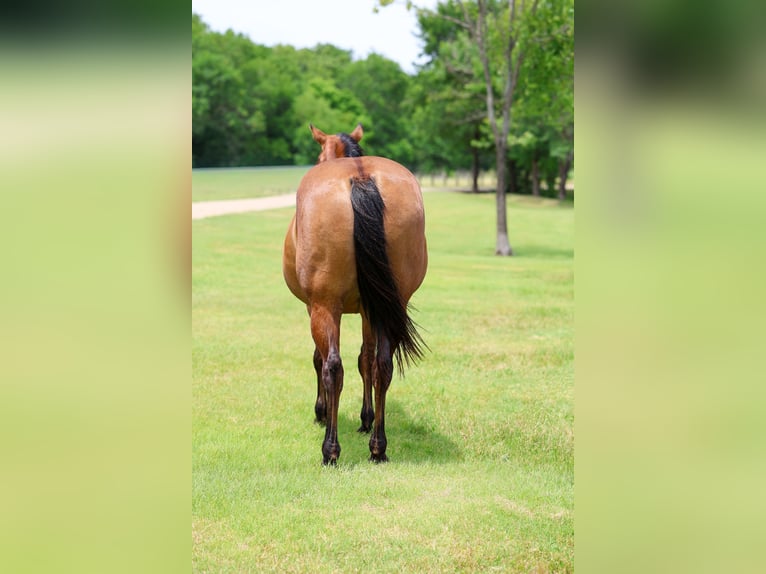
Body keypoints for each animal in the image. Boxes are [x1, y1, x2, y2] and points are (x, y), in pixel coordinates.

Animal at [282, 123, 428, 465]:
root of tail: (361, 177)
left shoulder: (313, 306)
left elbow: (319, 359)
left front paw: (321, 411)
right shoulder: (368, 308)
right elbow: (366, 359)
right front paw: (366, 418)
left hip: (325, 306)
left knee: (332, 367)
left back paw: (330, 450)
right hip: (390, 304)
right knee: (383, 365)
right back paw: (378, 447)